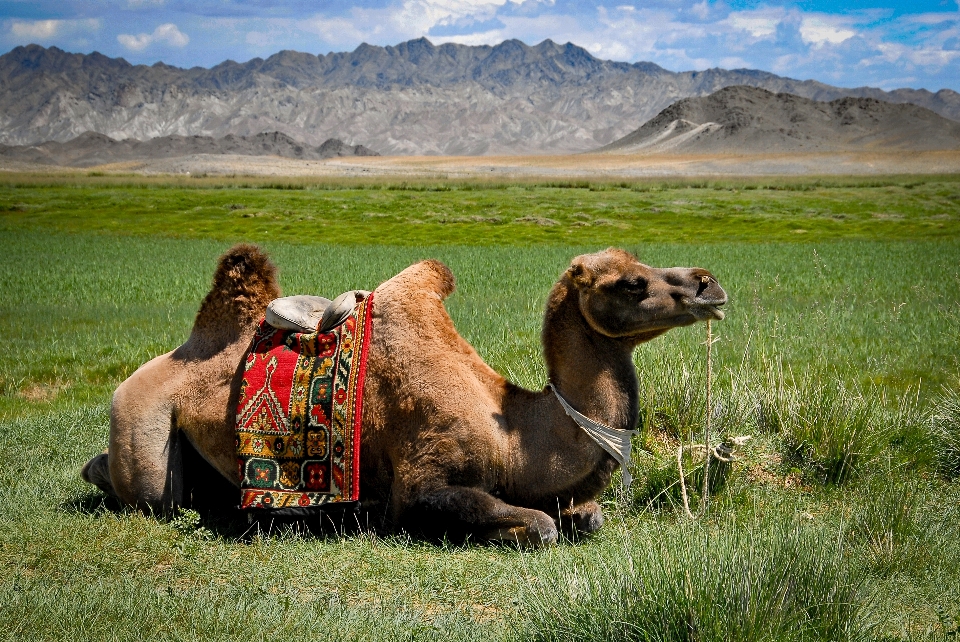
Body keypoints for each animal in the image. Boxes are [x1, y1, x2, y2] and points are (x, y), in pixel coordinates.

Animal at [84, 242, 728, 544]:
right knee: (143, 489)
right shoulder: (424, 482)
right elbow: (538, 527)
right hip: (143, 425)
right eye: (632, 283)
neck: (515, 437)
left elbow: (585, 518)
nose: (708, 283)